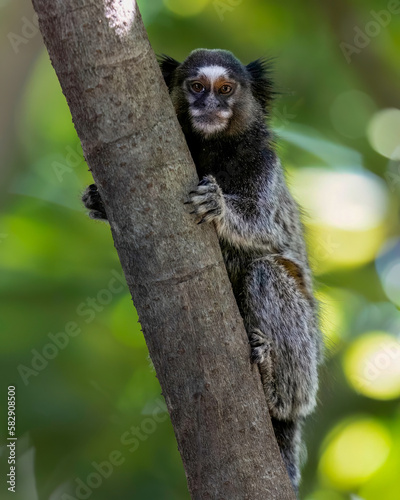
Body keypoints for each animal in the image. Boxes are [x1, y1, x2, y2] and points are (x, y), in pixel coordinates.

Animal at [83, 48, 324, 494]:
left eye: (225, 89)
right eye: (196, 86)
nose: (209, 105)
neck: (213, 148)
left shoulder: (264, 166)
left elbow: (268, 229)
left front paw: (220, 207)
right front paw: (97, 201)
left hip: (307, 355)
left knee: (267, 272)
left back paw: (274, 389)